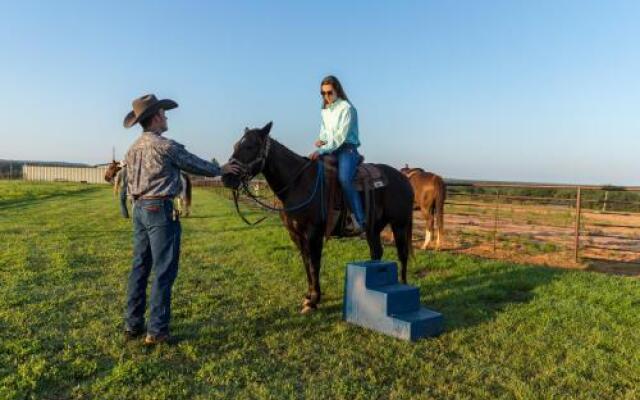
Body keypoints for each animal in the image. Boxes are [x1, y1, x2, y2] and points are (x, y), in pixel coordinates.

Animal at [221, 122, 416, 312]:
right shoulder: (296, 234)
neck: (298, 184)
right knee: (376, 252)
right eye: (236, 145)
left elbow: (315, 264)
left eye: (250, 146)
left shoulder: (314, 232)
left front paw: (314, 300)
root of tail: (403, 178)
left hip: (399, 224)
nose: (226, 177)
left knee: (402, 254)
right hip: (373, 228)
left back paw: (403, 286)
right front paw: (308, 296)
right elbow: (306, 263)